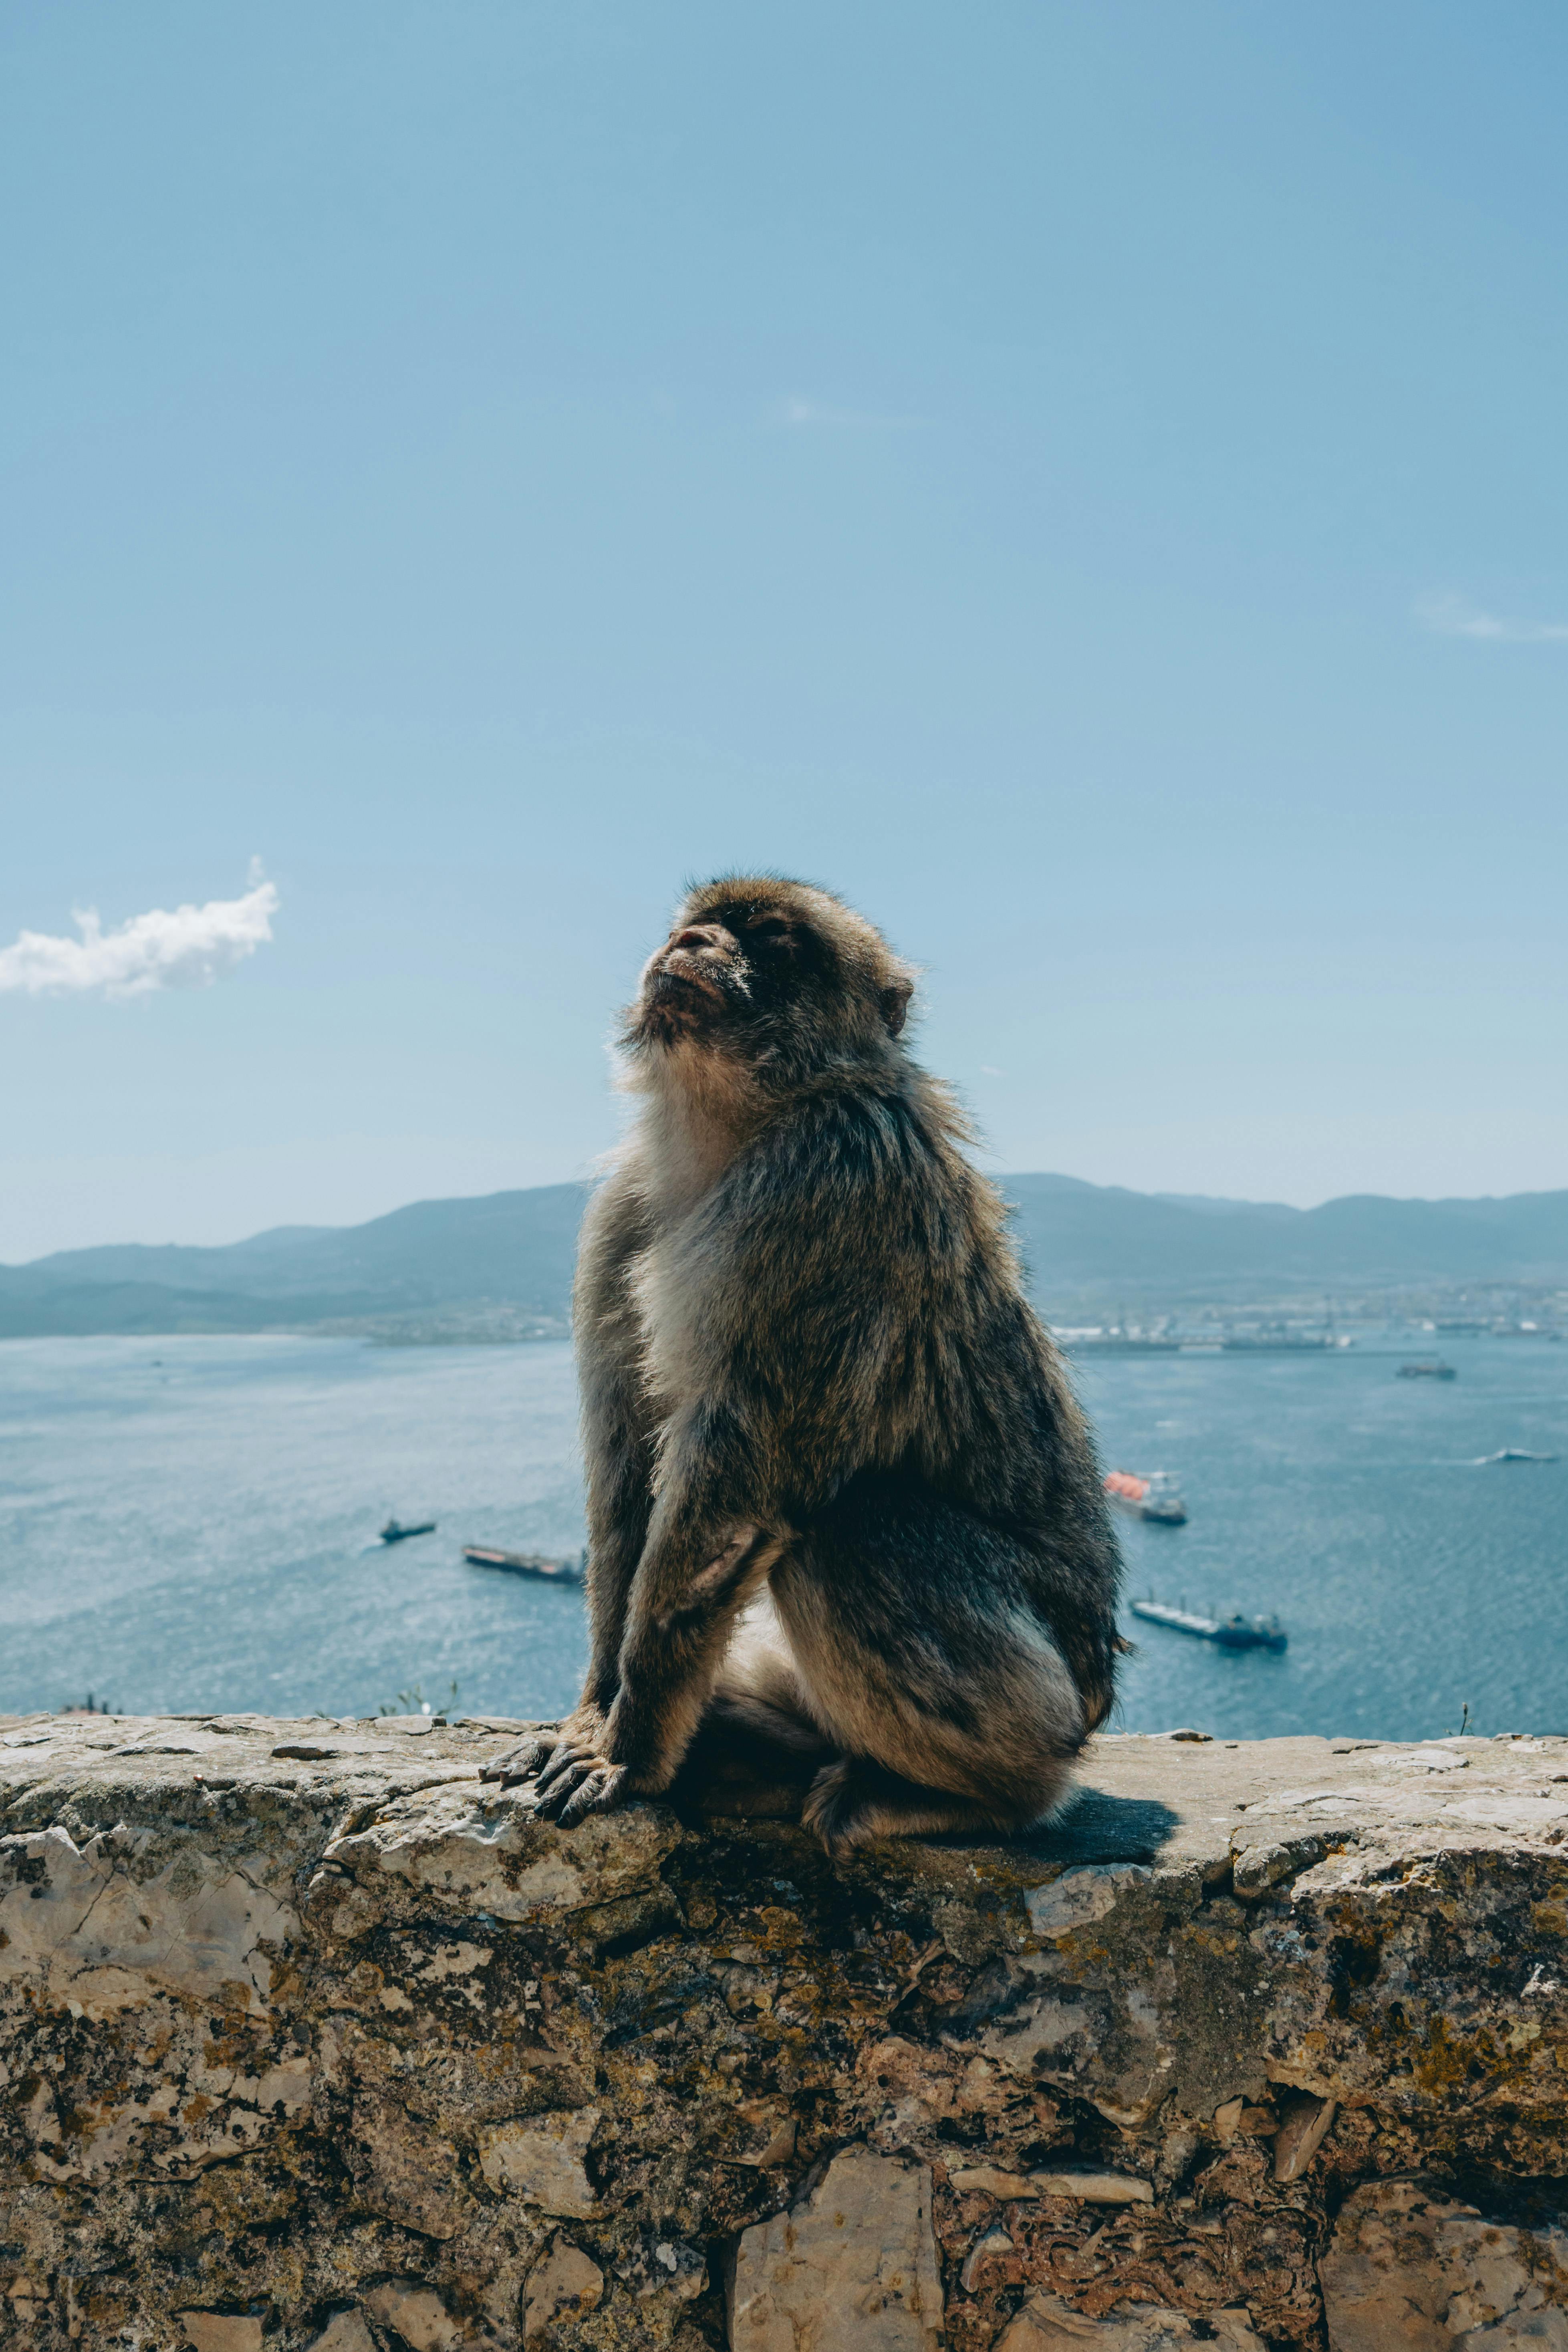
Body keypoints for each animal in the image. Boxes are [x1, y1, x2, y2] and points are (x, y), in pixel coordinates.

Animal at [481, 875, 1122, 1854]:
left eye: (774, 938)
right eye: (693, 925)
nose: (693, 943)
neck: (730, 1130)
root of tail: (1091, 1701)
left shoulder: (830, 1182)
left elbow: (735, 1492)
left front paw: (629, 1751)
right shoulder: (620, 1212)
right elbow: (627, 1479)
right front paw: (594, 1713)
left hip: (1036, 1702)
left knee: (855, 1527)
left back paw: (970, 1797)